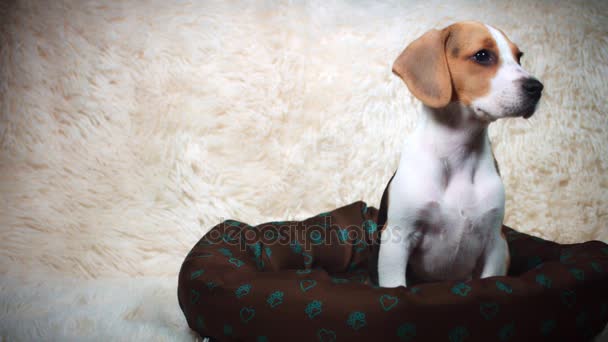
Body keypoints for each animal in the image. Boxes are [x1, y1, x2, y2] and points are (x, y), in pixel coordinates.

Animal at [376, 21, 540, 288]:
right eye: (482, 55)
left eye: (519, 57)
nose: (537, 88)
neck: (459, 152)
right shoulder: (397, 240)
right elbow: (396, 285)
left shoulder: (495, 242)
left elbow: (491, 278)